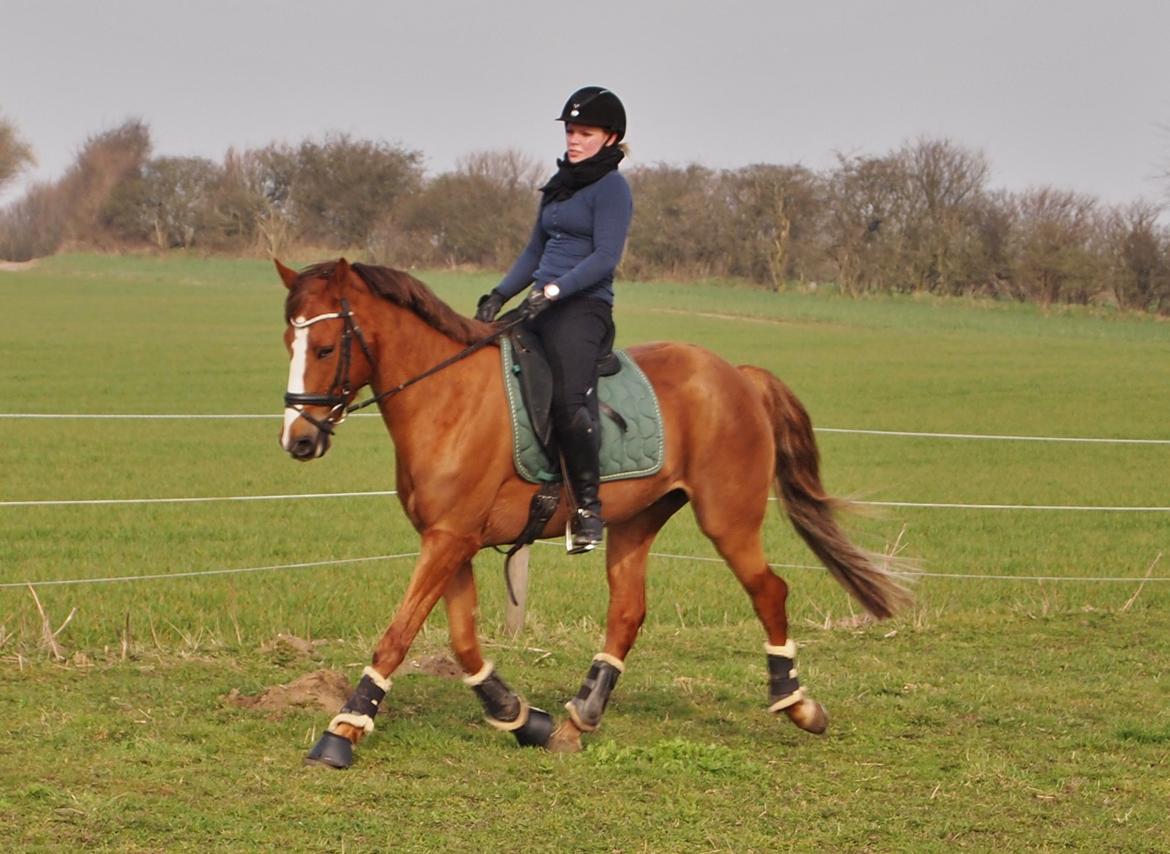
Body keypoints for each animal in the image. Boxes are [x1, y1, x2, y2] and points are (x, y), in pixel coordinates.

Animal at [278, 257, 907, 767]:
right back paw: (579, 717)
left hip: (728, 518)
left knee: (769, 591)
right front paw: (521, 718)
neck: (446, 396)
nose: (298, 441)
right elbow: (461, 641)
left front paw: (342, 731)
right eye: (289, 343)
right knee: (627, 611)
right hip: (635, 520)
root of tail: (737, 376)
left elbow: (399, 634)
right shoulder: (449, 540)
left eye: (326, 348)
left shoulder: (449, 539)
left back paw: (798, 705)